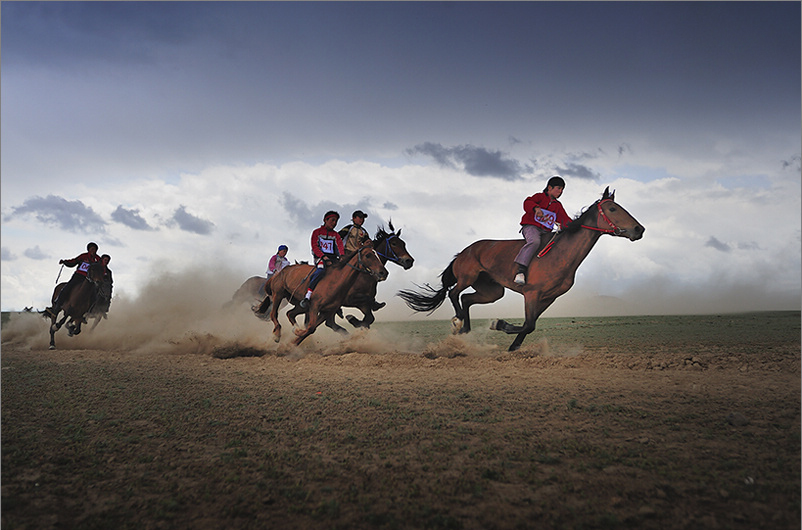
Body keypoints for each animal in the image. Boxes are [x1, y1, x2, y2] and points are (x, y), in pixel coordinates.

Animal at [396, 187, 644, 350]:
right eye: (612, 208)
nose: (639, 229)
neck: (560, 254)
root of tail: (464, 251)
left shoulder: (548, 298)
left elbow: (529, 326)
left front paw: (512, 347)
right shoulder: (532, 293)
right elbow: (528, 324)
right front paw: (499, 324)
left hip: (493, 291)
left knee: (466, 299)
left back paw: (465, 331)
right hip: (468, 277)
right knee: (454, 293)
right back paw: (458, 323)